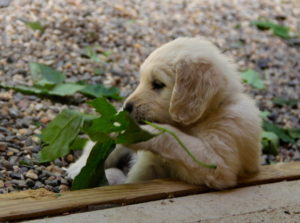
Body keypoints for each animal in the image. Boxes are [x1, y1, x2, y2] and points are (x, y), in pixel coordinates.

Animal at [123, 37, 262, 190]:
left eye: (158, 84)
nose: (126, 107)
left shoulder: (221, 162)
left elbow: (169, 136)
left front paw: (133, 131)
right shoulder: (150, 165)